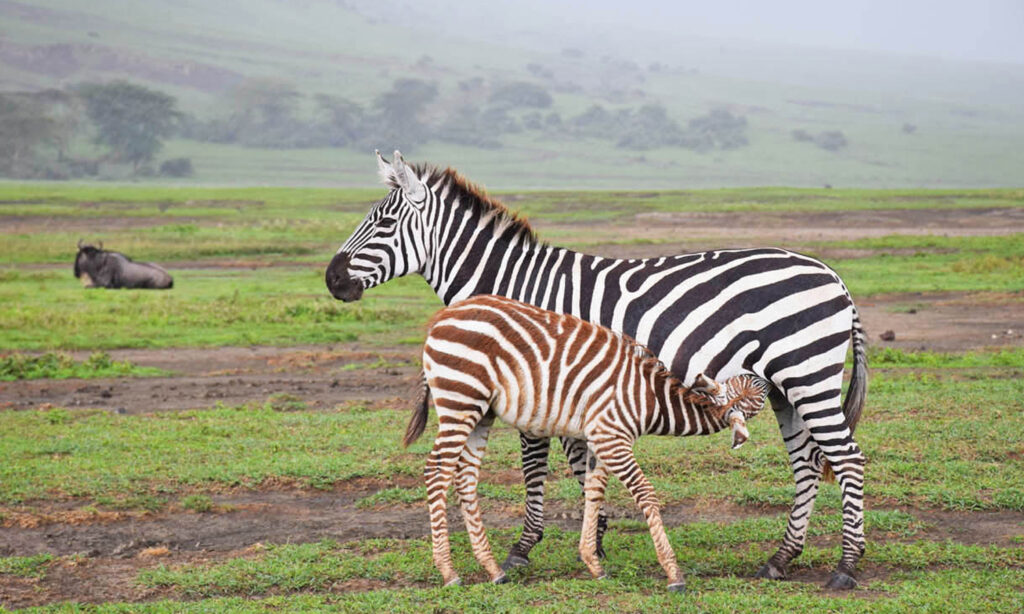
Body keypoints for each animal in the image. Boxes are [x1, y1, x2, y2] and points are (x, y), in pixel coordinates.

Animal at [401, 294, 770, 593]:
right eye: (757, 392)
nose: (769, 375)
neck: (650, 400)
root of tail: (442, 318)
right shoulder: (612, 439)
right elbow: (646, 494)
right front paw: (674, 574)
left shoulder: (600, 440)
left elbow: (593, 493)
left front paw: (593, 563)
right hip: (460, 400)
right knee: (437, 472)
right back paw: (448, 572)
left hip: (481, 412)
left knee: (465, 478)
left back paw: (493, 570)